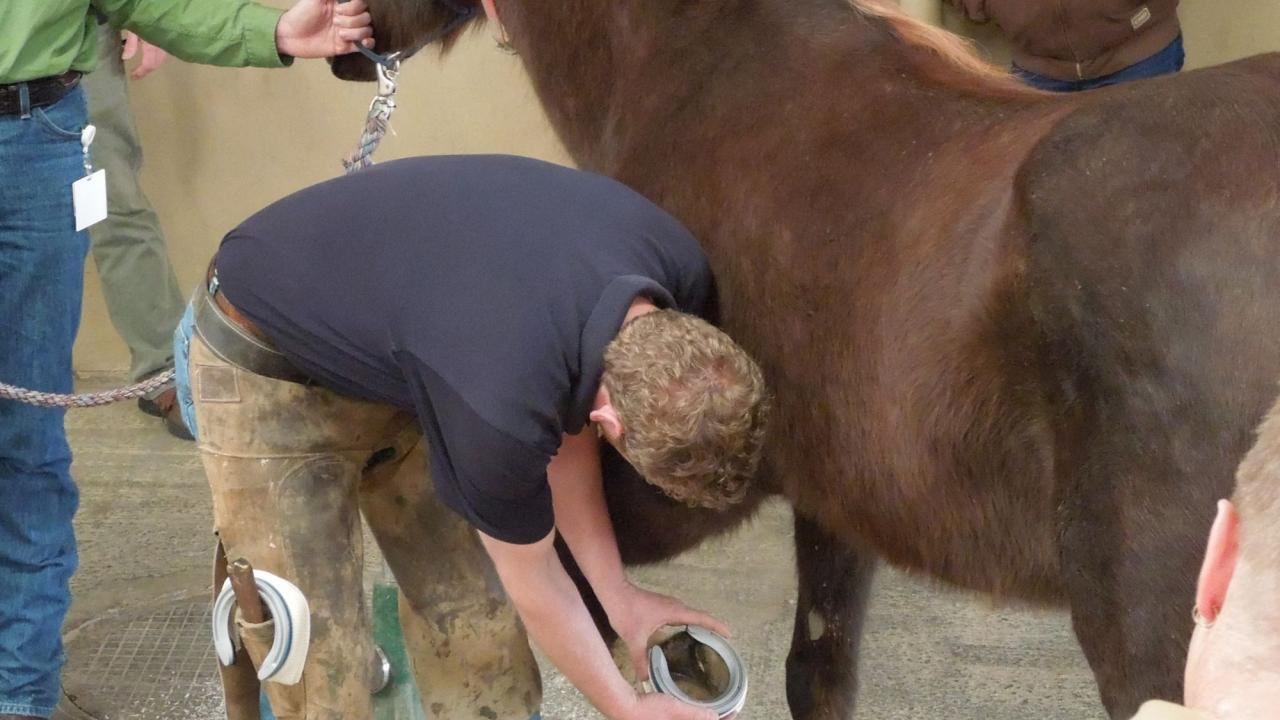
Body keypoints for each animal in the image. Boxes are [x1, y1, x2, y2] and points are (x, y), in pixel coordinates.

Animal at [330, 2, 1280, 712]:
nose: (338, 39)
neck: (692, 76)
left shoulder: (673, 483)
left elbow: (571, 585)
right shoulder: (838, 499)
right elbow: (816, 670)